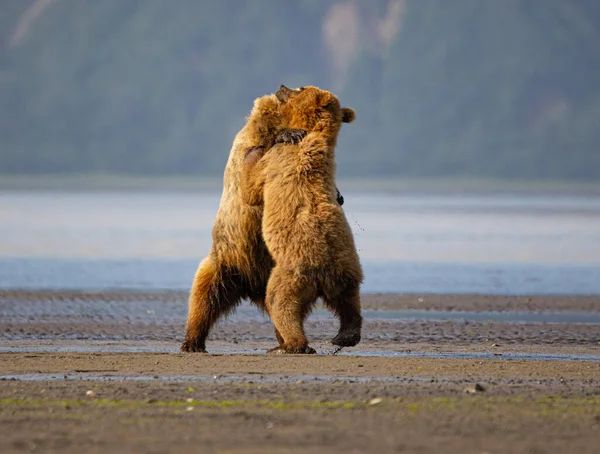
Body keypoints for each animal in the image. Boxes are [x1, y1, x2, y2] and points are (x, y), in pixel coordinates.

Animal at [180, 88, 344, 352]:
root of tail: (250, 284)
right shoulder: (246, 149)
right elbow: (254, 169)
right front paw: (291, 134)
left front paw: (337, 193)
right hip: (224, 262)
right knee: (203, 298)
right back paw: (192, 341)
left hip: (271, 271)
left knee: (284, 307)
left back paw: (287, 342)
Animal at [240, 85, 364, 354]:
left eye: (300, 88)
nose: (281, 87)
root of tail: (323, 274)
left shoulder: (276, 163)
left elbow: (252, 187)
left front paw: (260, 146)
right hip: (347, 269)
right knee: (349, 302)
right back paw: (345, 336)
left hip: (291, 273)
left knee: (279, 302)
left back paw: (290, 345)